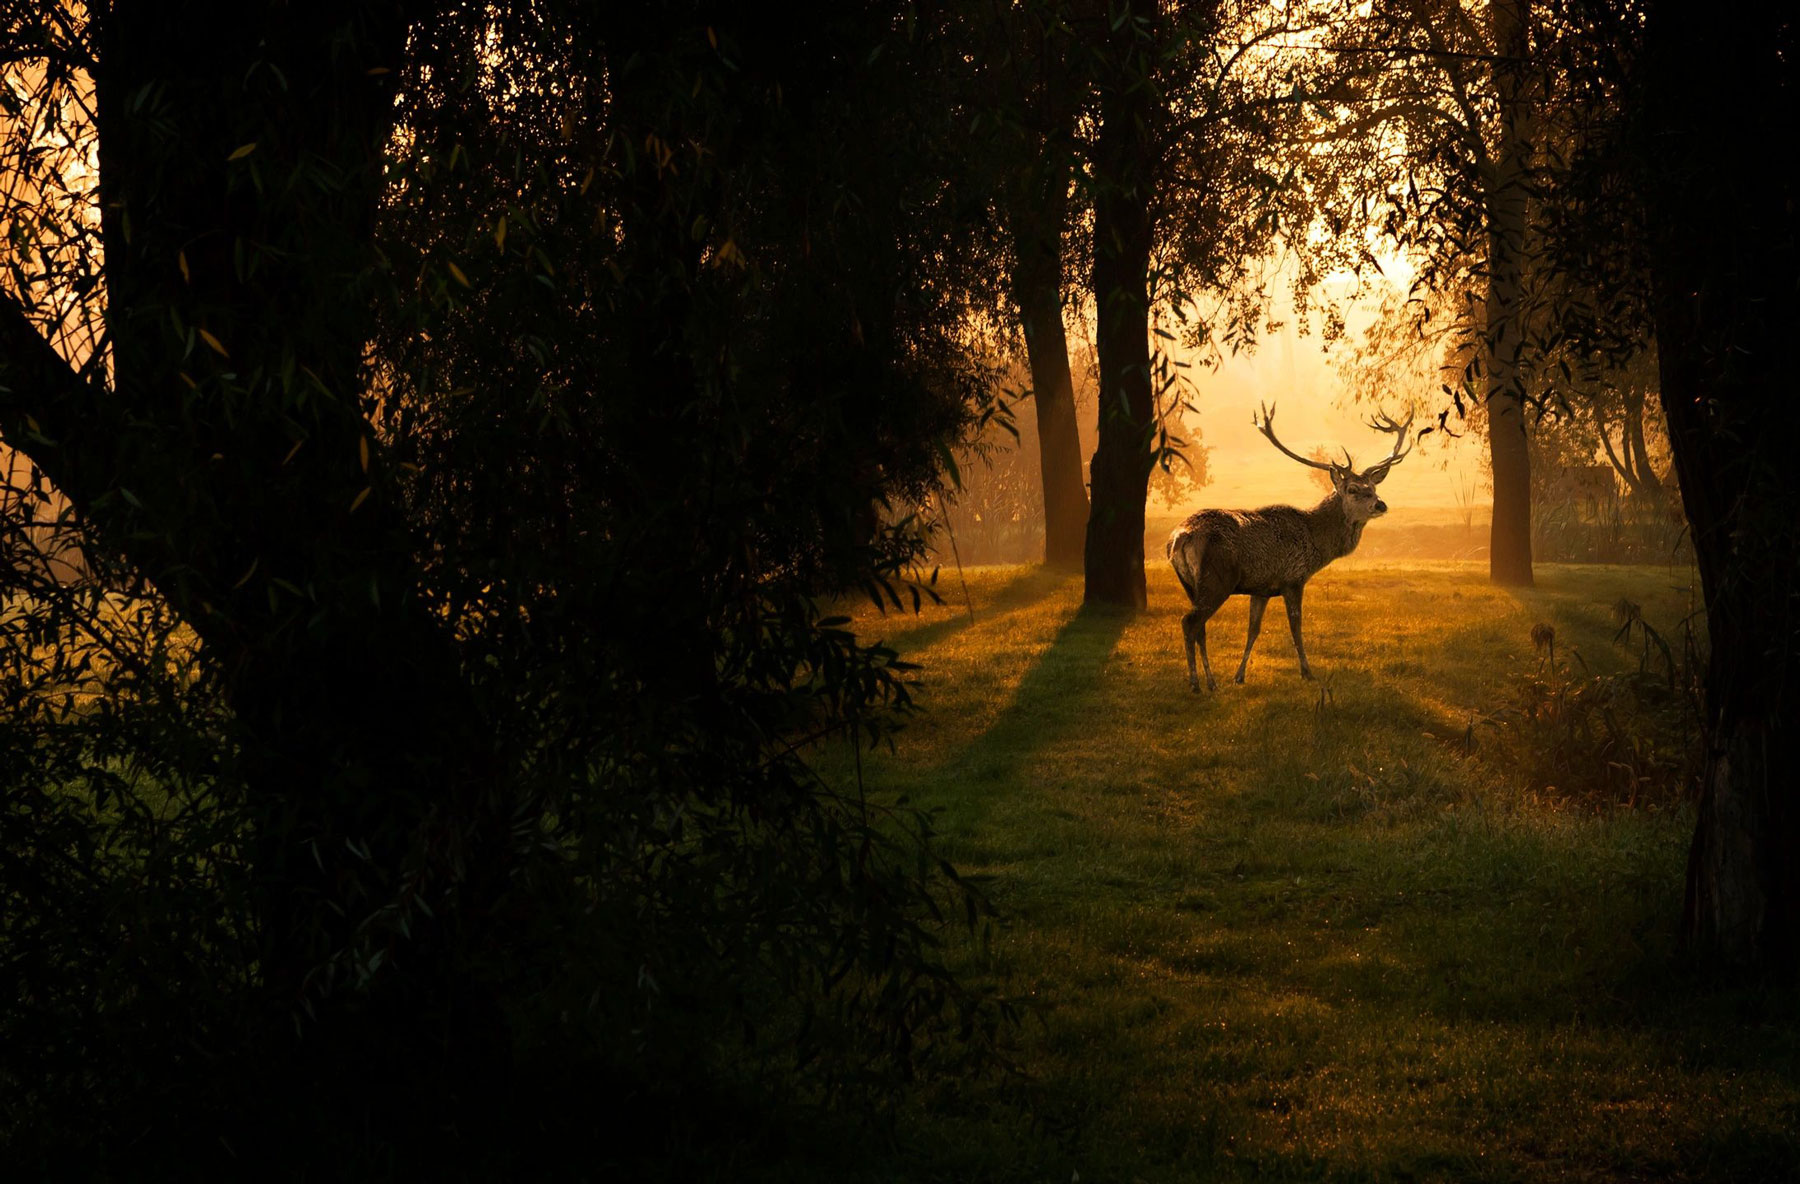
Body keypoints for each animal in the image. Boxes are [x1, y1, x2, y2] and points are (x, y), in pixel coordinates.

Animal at [1166, 401, 1418, 687]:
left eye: (1373, 488)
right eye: (1353, 489)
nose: (1380, 504)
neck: (1316, 540)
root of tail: (1180, 537)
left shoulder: (1261, 588)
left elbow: (1253, 630)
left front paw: (1239, 675)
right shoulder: (1293, 579)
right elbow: (1296, 627)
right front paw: (1307, 671)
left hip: (1190, 584)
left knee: (1200, 627)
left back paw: (1210, 680)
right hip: (1217, 579)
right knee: (1189, 622)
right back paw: (1197, 682)